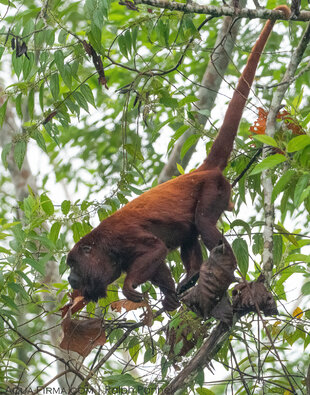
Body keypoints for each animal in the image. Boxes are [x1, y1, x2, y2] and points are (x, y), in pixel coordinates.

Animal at [67, 4, 290, 310]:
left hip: (214, 188)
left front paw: (128, 287)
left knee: (204, 223)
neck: (101, 246)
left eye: (73, 265)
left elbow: (156, 248)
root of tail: (201, 170)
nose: (69, 280)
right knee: (190, 231)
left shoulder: (120, 237)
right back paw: (192, 275)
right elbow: (160, 261)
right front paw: (170, 296)